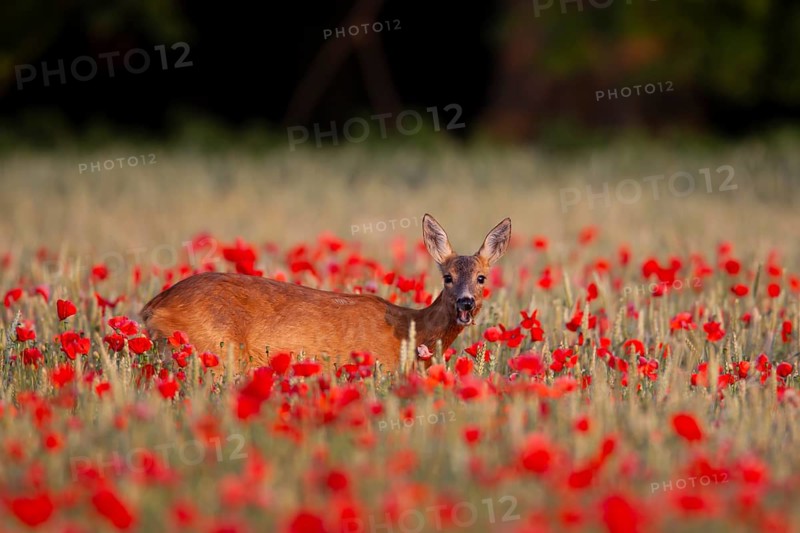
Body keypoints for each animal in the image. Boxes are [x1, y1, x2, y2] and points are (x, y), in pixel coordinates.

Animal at [140, 214, 511, 374]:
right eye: (447, 277)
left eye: (481, 277)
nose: (465, 302)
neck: (411, 329)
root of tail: (152, 307)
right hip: (215, 351)